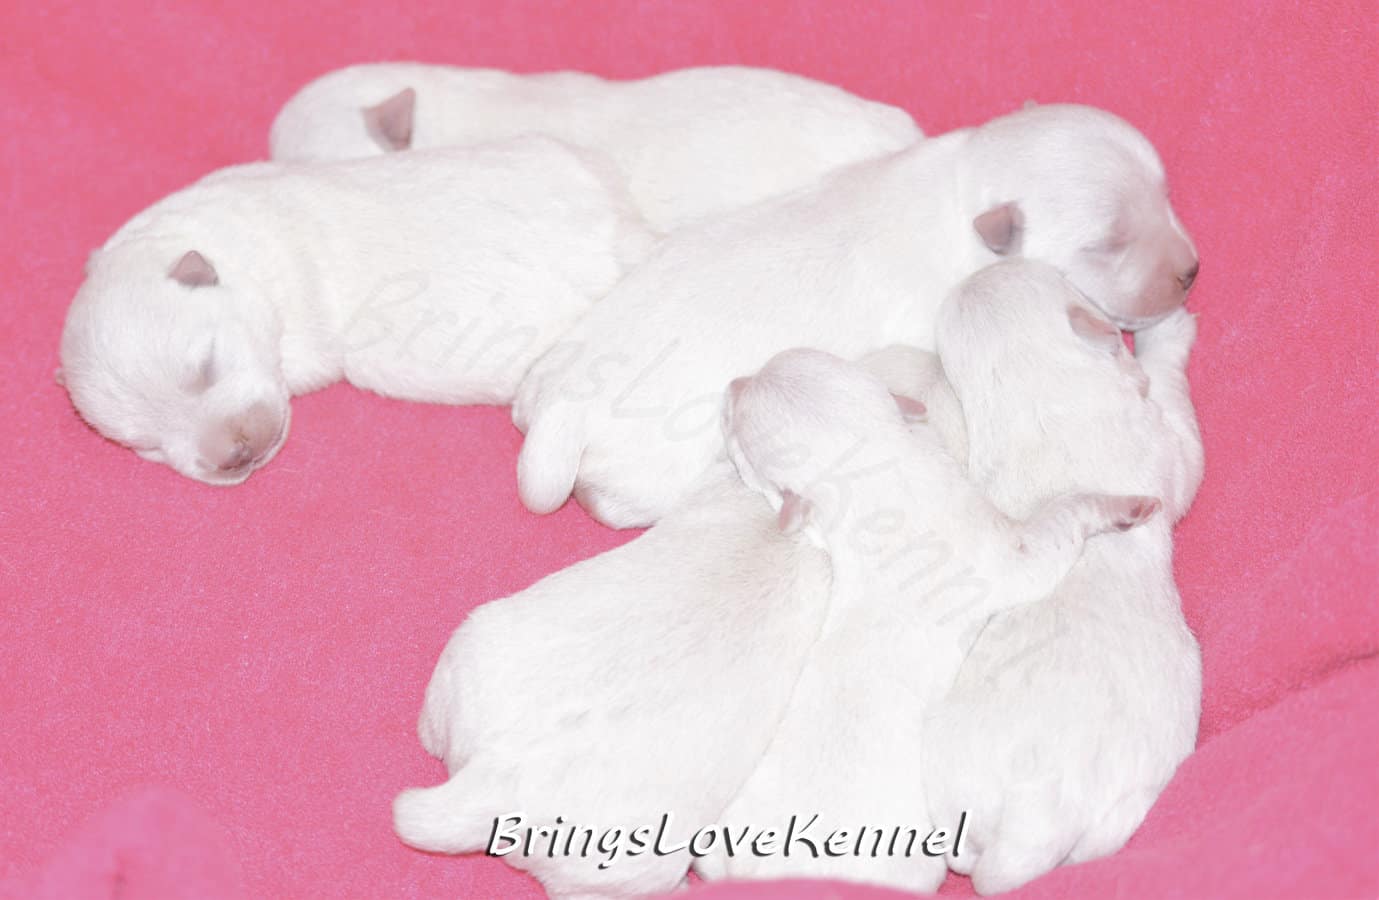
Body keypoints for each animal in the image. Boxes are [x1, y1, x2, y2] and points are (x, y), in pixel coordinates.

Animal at [513, 103, 1200, 529]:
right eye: (1108, 243)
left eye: (1165, 193)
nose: (1191, 272)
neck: (967, 190)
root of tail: (563, 408)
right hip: (651, 468)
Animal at [696, 347, 1158, 892]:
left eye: (733, 419)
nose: (732, 383)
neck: (873, 474)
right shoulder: (1008, 552)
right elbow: (1059, 523)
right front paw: (1118, 505)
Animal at [923, 260, 1204, 894]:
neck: (1033, 397)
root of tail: (1029, 824)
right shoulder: (1166, 447)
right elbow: (1175, 413)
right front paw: (1165, 334)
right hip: (1125, 795)